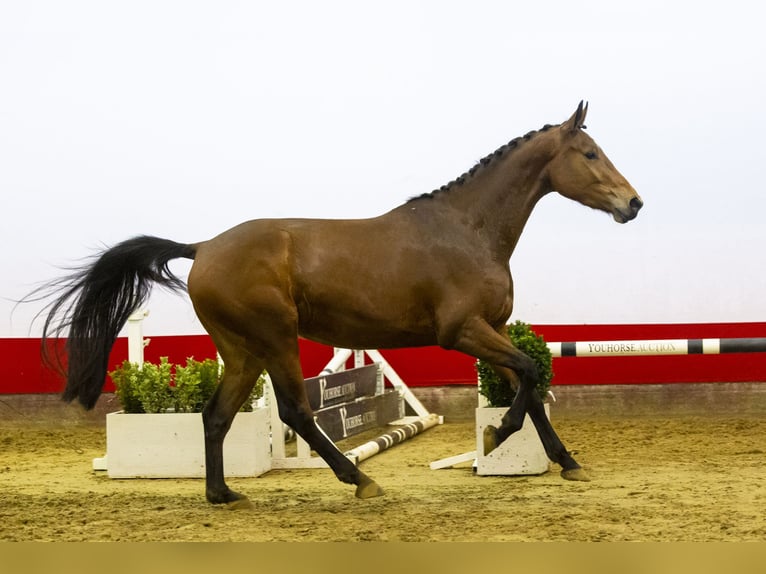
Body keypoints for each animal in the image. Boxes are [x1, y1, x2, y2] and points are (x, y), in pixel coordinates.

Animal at [39, 102, 644, 508]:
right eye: (589, 153)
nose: (633, 203)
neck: (468, 230)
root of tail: (204, 247)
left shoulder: (489, 330)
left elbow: (530, 385)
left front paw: (566, 463)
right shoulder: (463, 331)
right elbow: (527, 376)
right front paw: (497, 435)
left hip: (243, 351)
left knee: (216, 415)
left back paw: (224, 495)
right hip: (276, 339)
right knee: (294, 413)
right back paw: (360, 481)